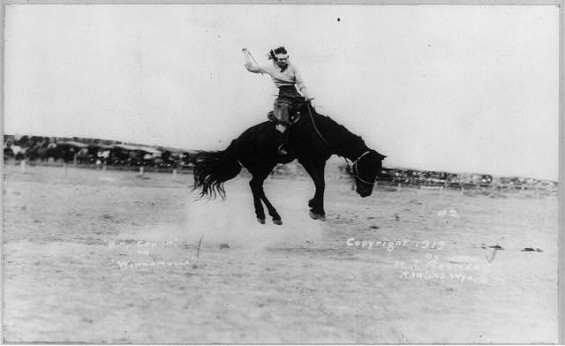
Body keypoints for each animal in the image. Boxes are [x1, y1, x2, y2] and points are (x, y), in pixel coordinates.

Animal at [192, 102, 386, 226]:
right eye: (367, 167)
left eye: (378, 168)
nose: (366, 192)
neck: (320, 132)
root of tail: (235, 143)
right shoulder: (307, 160)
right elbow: (320, 183)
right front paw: (316, 210)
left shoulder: (320, 161)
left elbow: (321, 184)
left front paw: (314, 206)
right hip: (264, 166)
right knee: (255, 185)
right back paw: (271, 215)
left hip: (265, 166)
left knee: (255, 186)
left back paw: (265, 215)